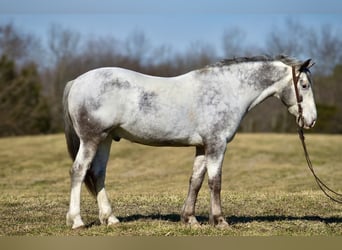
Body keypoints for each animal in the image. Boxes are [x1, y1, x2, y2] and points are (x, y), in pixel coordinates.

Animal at [62, 54, 316, 229]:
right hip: (91, 139)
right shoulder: (217, 144)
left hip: (105, 140)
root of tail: (76, 81)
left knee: (98, 174)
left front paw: (190, 219)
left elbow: (196, 181)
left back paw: (110, 218)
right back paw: (77, 221)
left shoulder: (202, 146)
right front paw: (220, 220)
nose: (311, 120)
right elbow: (215, 182)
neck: (226, 90)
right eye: (304, 85)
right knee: (78, 171)